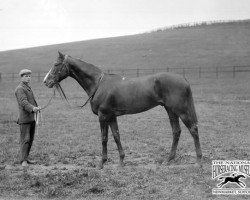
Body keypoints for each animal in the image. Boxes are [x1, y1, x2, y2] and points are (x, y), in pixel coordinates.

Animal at [43, 51, 201, 169]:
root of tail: (183, 79)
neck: (98, 84)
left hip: (180, 110)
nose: (46, 81)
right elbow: (116, 136)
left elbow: (104, 138)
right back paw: (168, 160)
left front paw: (101, 163)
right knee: (176, 132)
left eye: (56, 64)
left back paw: (198, 160)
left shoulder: (103, 116)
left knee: (193, 129)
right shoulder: (112, 117)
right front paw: (121, 162)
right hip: (170, 110)